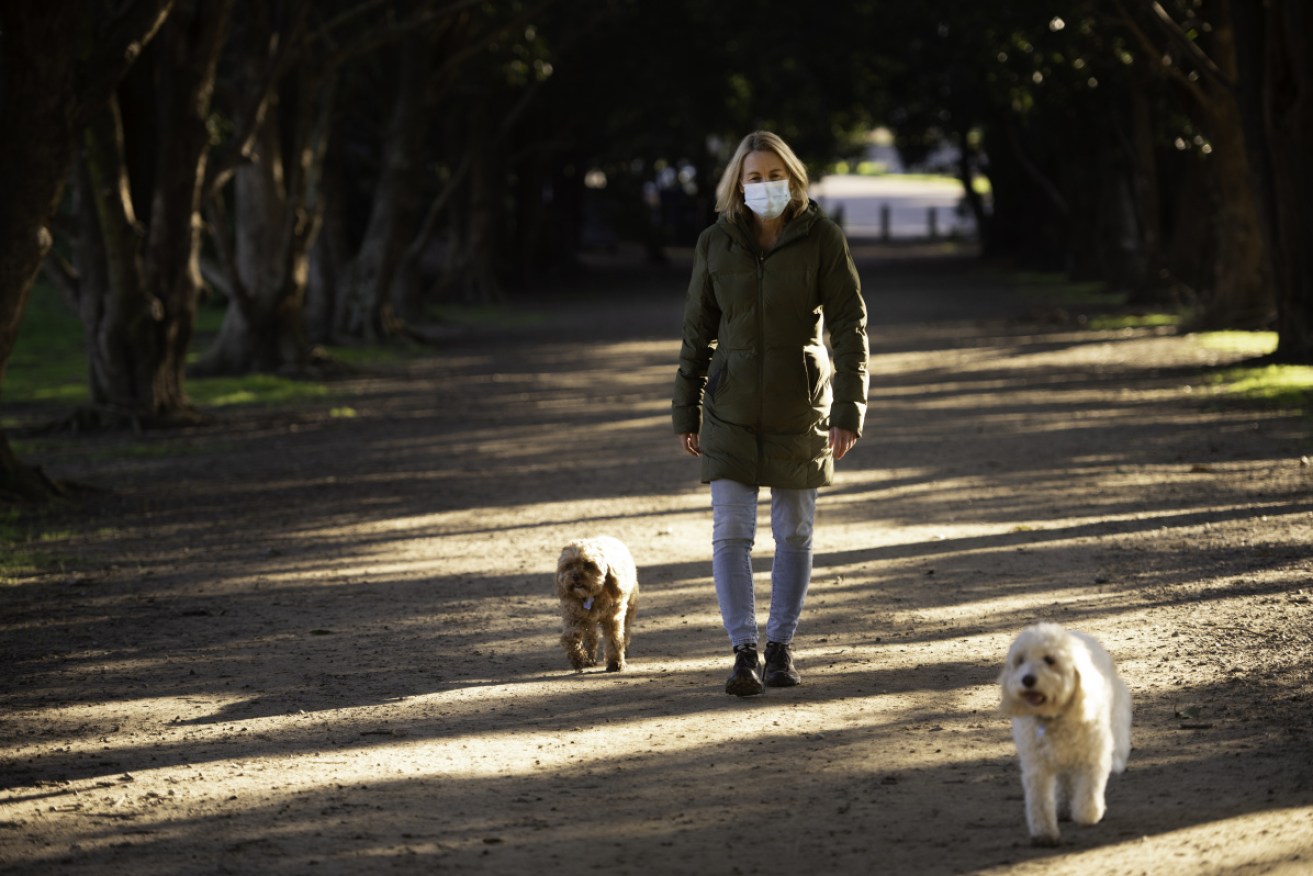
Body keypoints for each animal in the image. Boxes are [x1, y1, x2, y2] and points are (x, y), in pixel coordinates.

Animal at [997, 619, 1134, 845]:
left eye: (1050, 660)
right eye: (1020, 660)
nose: (1027, 679)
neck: (1054, 718)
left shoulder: (1093, 757)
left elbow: (1089, 789)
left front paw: (1087, 814)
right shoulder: (1037, 767)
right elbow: (1039, 801)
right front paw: (1044, 833)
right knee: (1064, 782)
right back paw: (1062, 808)